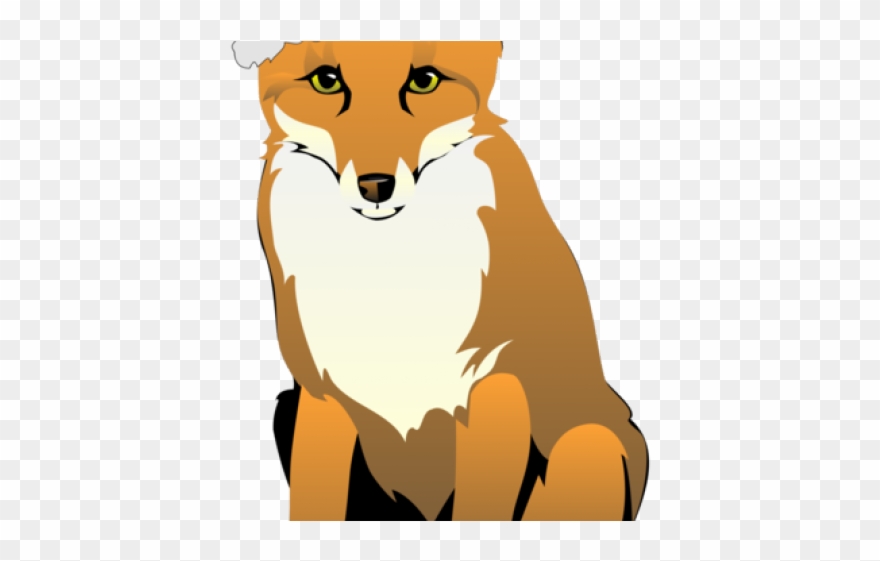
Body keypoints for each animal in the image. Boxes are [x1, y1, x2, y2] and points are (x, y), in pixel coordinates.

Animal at [242, 40, 649, 521]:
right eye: (327, 81)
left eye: (424, 81)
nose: (375, 186)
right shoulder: (318, 393)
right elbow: (314, 501)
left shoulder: (495, 387)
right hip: (286, 410)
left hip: (588, 443)